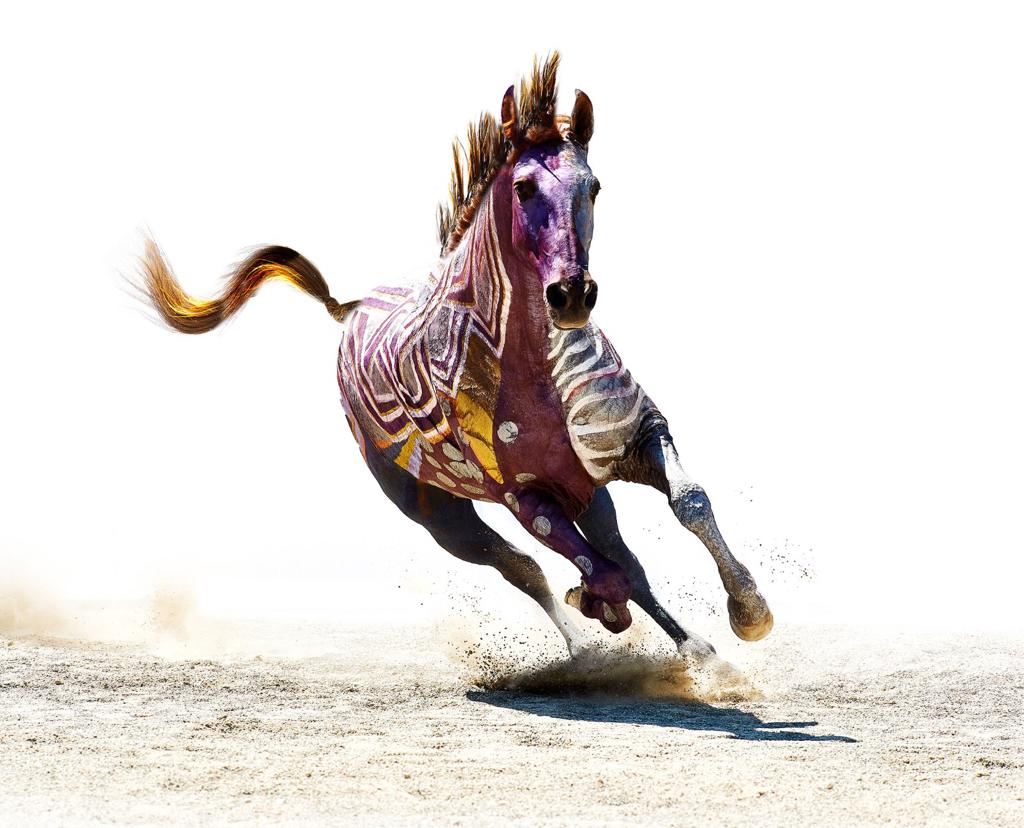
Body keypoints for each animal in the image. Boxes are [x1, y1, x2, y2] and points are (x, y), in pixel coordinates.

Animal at [137, 53, 773, 659]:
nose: (571, 295)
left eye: (592, 187)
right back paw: (588, 647)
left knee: (614, 554)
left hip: (582, 490)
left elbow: (688, 503)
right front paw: (602, 608)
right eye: (524, 188)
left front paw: (748, 612)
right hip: (436, 514)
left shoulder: (636, 436)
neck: (536, 368)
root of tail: (351, 308)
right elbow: (601, 570)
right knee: (526, 567)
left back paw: (692, 646)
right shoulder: (527, 497)